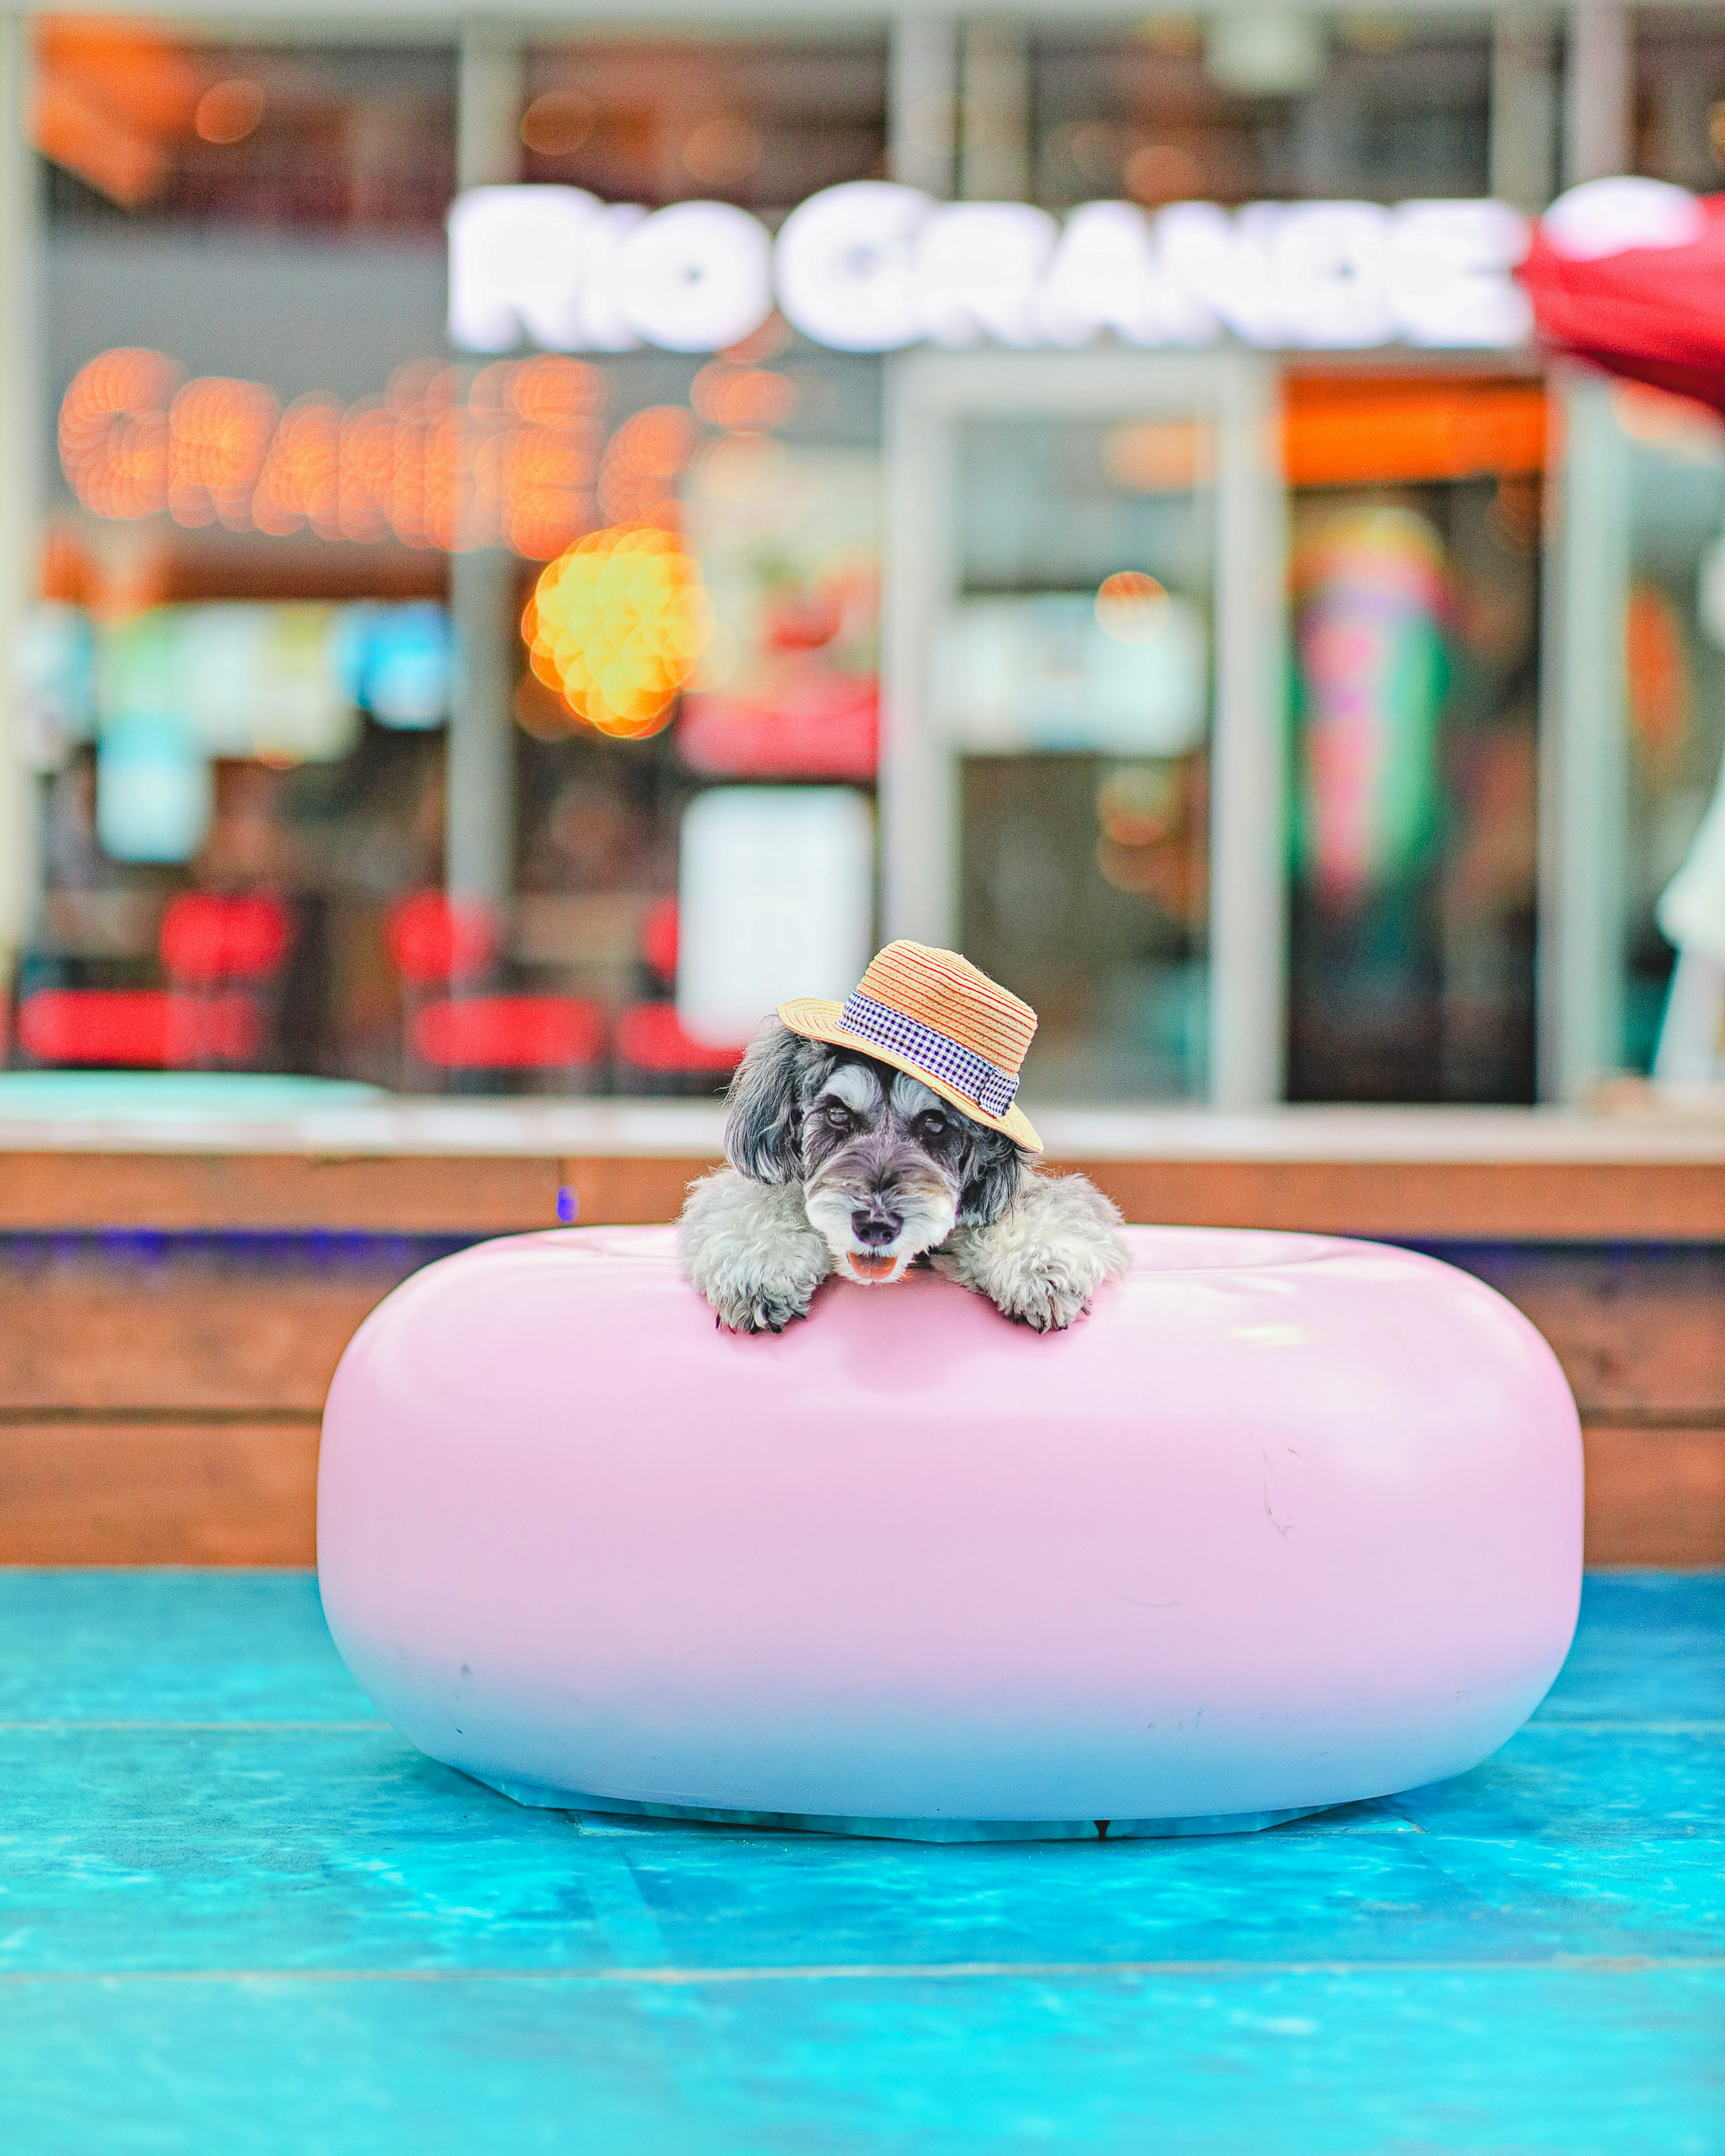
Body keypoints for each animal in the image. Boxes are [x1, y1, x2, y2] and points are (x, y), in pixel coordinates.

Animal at [672, 1017, 1130, 1337]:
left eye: (935, 1123)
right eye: (837, 1112)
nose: (876, 1226)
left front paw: (1041, 1270)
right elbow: (761, 1202)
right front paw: (759, 1273)